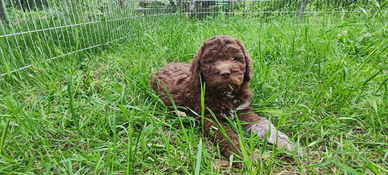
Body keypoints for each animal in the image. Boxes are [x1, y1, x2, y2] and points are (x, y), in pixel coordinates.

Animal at [150, 35, 292, 164]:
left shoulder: (242, 110)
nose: (225, 73)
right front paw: (243, 156)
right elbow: (226, 135)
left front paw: (282, 141)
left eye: (235, 58)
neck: (225, 94)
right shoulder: (209, 117)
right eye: (211, 61)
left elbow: (262, 123)